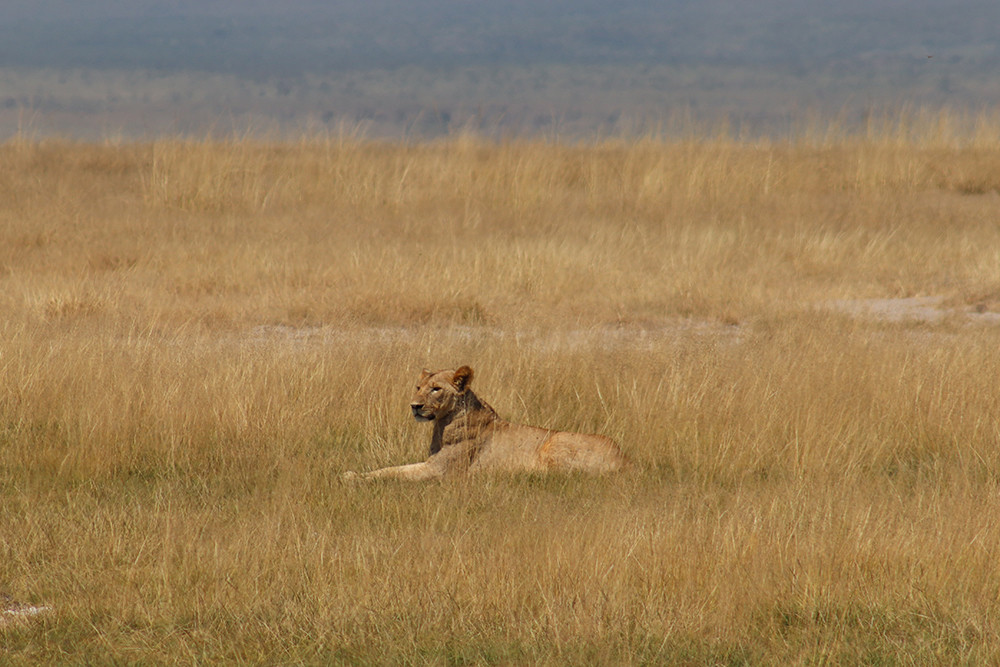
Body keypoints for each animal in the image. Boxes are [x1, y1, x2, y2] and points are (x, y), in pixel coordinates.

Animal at [342, 366, 628, 481]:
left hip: (554, 442)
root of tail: (626, 460)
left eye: (436, 389)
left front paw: (355, 478)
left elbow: (393, 472)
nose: (415, 406)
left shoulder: (439, 471)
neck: (443, 423)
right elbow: (391, 468)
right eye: (418, 387)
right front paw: (354, 474)